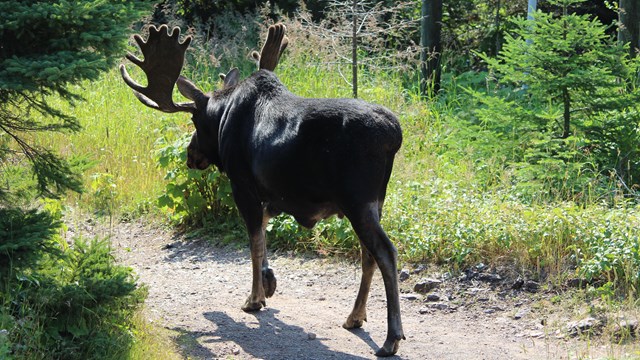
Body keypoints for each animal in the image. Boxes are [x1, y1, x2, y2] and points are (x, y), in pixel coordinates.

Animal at [120, 23, 404, 358]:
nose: (191, 156)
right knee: (367, 253)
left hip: (356, 200)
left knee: (384, 251)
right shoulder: (275, 194)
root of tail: (394, 135)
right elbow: (265, 227)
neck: (224, 116)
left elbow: (254, 241)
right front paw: (269, 282)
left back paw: (391, 337)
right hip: (375, 201)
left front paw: (254, 298)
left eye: (194, 120)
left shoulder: (242, 182)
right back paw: (355, 316)